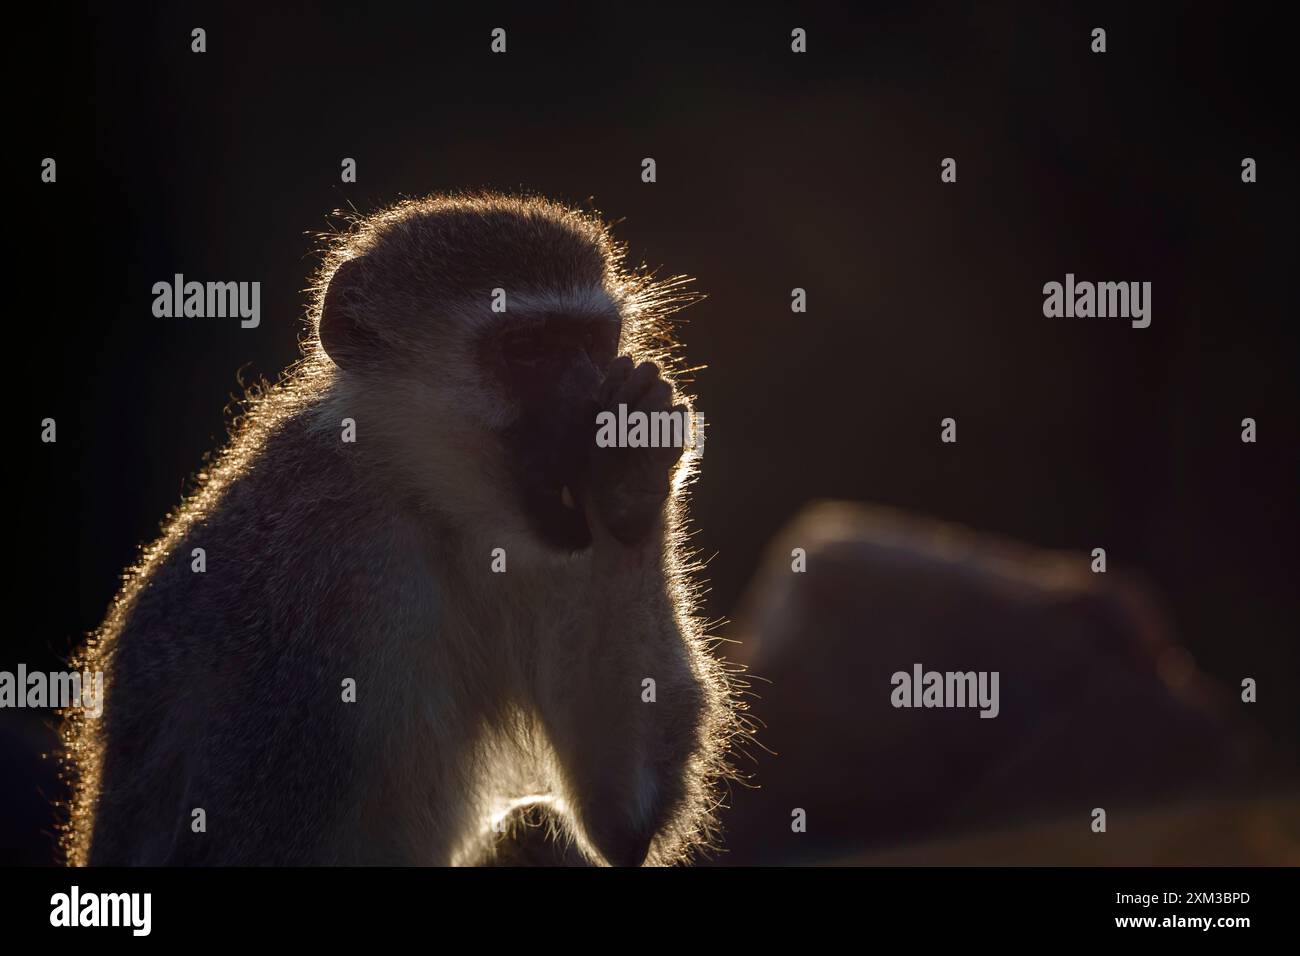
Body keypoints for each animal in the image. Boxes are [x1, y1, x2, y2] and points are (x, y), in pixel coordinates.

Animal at [60, 192, 743, 867]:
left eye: (593, 343)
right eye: (526, 348)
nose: (592, 398)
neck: (422, 502)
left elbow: (620, 818)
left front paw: (631, 478)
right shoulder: (329, 585)